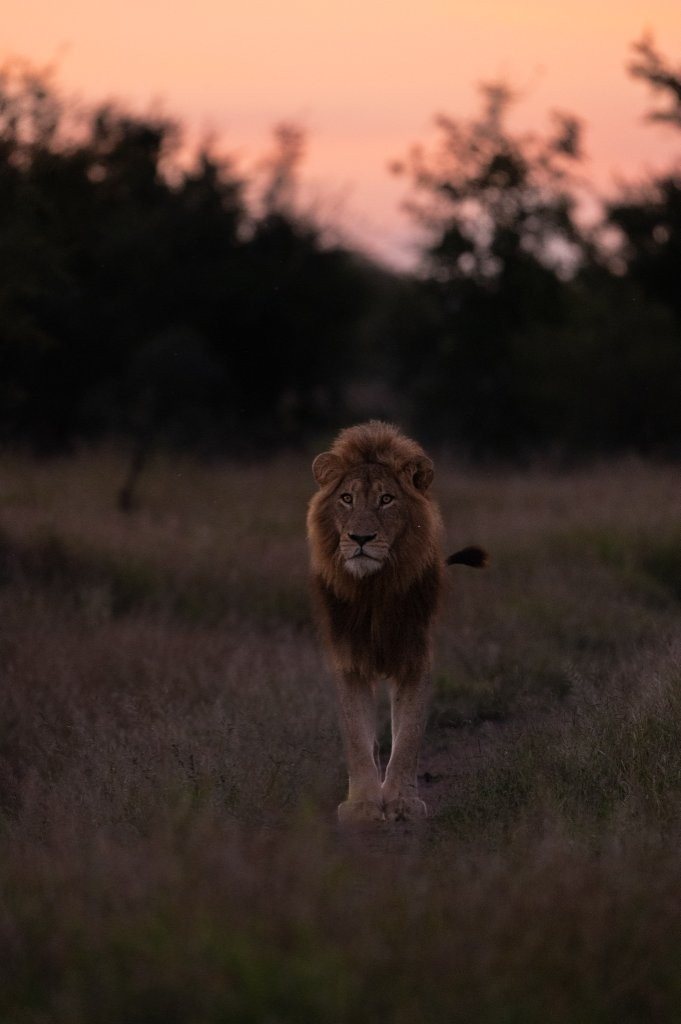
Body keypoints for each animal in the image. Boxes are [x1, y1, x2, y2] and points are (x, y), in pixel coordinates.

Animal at [307, 420, 486, 825]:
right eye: (347, 498)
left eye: (387, 499)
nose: (361, 537)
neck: (375, 587)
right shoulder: (349, 659)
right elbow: (357, 737)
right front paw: (363, 805)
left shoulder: (414, 654)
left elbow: (409, 735)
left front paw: (402, 801)